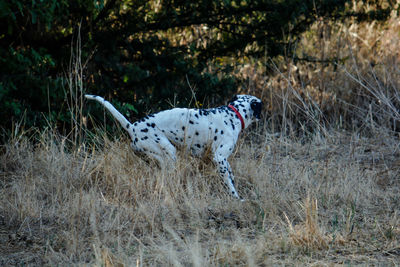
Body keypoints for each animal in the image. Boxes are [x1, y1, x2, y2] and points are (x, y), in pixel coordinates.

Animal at [85, 94, 262, 201]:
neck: (232, 115)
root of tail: (132, 127)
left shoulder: (223, 161)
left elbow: (231, 176)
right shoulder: (219, 158)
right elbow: (229, 184)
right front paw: (236, 198)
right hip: (169, 154)